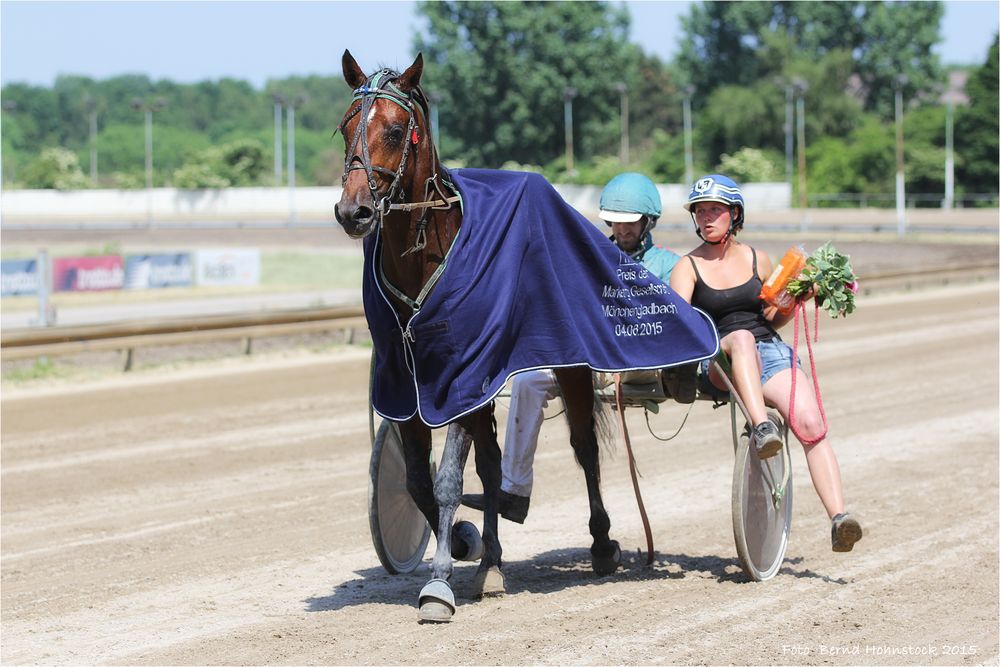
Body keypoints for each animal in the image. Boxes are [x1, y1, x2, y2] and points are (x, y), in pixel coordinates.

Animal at [332, 49, 620, 624]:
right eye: (346, 126)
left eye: (394, 130)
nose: (354, 212)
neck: (423, 257)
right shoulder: (409, 385)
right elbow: (418, 481)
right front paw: (466, 541)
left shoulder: (460, 378)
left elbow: (447, 481)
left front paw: (439, 584)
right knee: (490, 465)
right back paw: (491, 561)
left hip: (569, 363)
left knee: (583, 446)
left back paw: (601, 544)